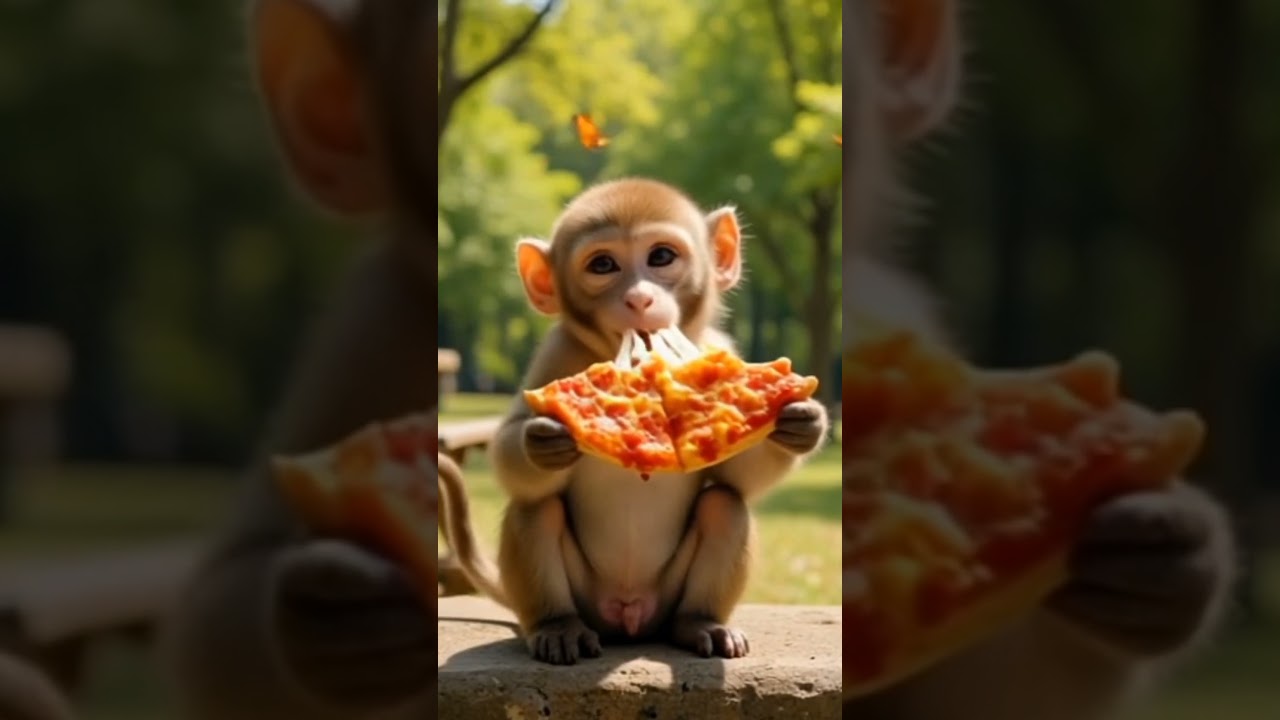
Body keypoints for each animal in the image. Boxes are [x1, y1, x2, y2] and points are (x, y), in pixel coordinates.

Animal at [432, 177, 831, 665]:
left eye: (661, 256)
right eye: (603, 265)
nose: (639, 297)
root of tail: (629, 617)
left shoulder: (720, 346)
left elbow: (738, 477)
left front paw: (801, 423)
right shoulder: (555, 354)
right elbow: (512, 453)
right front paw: (541, 440)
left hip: (666, 598)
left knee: (724, 507)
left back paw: (700, 623)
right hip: (588, 597)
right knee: (537, 509)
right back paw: (557, 626)